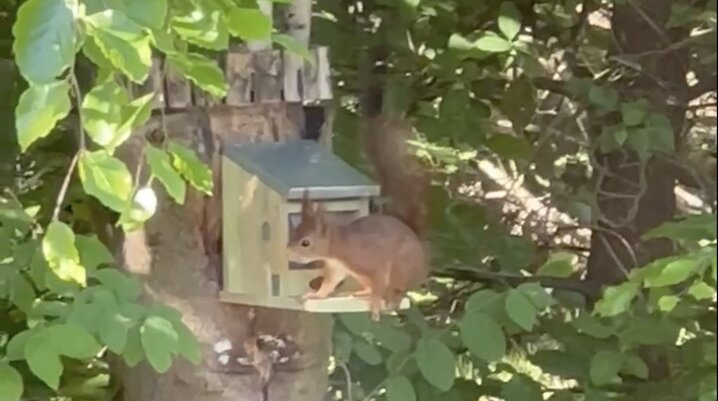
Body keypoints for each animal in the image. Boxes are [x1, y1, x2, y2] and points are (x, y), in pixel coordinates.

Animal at [286, 41, 430, 322]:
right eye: (294, 231)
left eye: (306, 242)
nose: (288, 250)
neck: (338, 248)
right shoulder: (337, 270)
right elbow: (328, 286)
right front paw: (315, 295)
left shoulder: (369, 263)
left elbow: (378, 280)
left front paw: (375, 304)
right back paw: (361, 293)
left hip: (400, 266)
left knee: (397, 287)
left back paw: (387, 297)